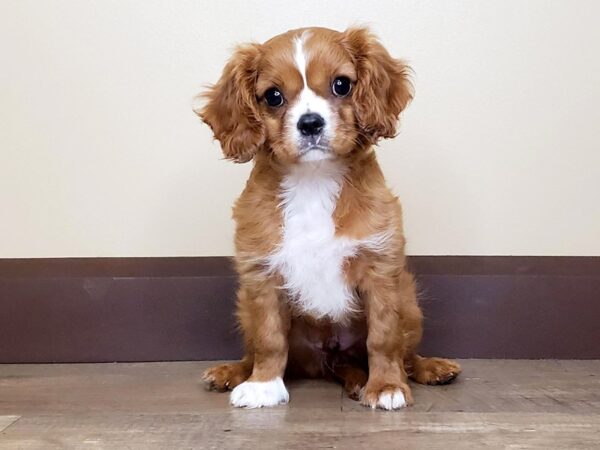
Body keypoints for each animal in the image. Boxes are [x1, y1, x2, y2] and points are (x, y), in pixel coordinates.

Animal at [196, 26, 460, 410]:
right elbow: (269, 339)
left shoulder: (380, 270)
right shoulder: (262, 275)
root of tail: (330, 361)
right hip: (246, 308)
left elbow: (383, 338)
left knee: (405, 353)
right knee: (256, 350)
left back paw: (428, 368)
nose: (310, 123)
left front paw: (386, 386)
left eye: (341, 85)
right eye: (273, 96)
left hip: (410, 303)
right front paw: (263, 384)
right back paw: (234, 372)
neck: (314, 181)